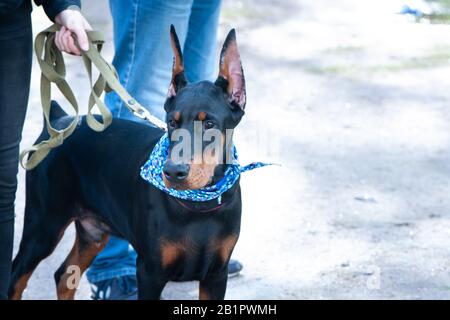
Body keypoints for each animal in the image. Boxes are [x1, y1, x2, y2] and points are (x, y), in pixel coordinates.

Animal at [7, 26, 246, 300]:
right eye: (172, 122)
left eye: (209, 124)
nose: (172, 172)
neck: (198, 206)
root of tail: (58, 120)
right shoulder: (150, 271)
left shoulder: (216, 274)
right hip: (43, 226)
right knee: (16, 278)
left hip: (93, 231)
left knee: (64, 275)